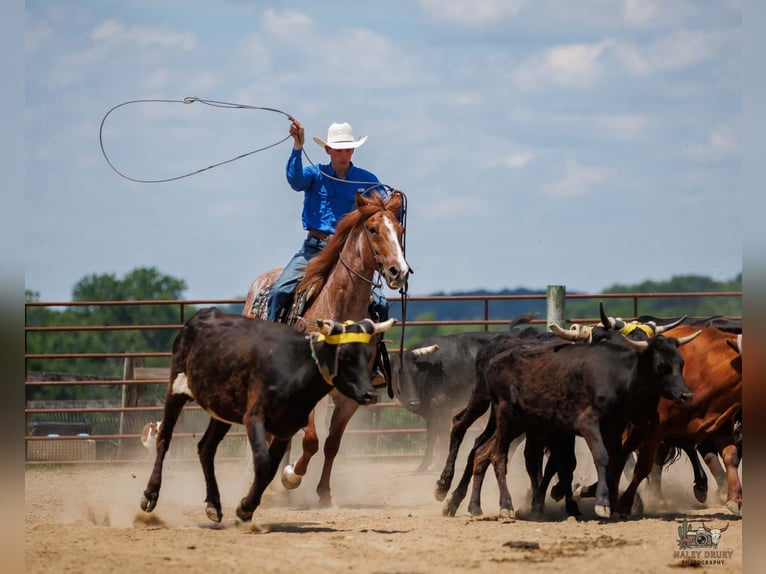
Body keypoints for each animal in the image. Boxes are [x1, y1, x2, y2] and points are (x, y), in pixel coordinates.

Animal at [243, 189, 410, 505]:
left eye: (400, 229)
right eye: (372, 229)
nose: (399, 272)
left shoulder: (350, 397)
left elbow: (331, 443)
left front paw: (324, 494)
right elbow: (311, 440)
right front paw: (290, 477)